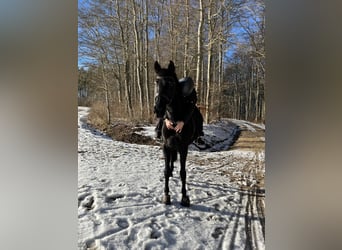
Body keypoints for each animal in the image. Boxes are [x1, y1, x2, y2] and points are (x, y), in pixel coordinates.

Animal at [153, 60, 196, 207]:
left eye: (171, 83)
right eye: (156, 81)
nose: (158, 109)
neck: (174, 118)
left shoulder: (183, 148)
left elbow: (183, 173)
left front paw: (184, 197)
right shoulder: (165, 146)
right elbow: (165, 171)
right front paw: (166, 195)